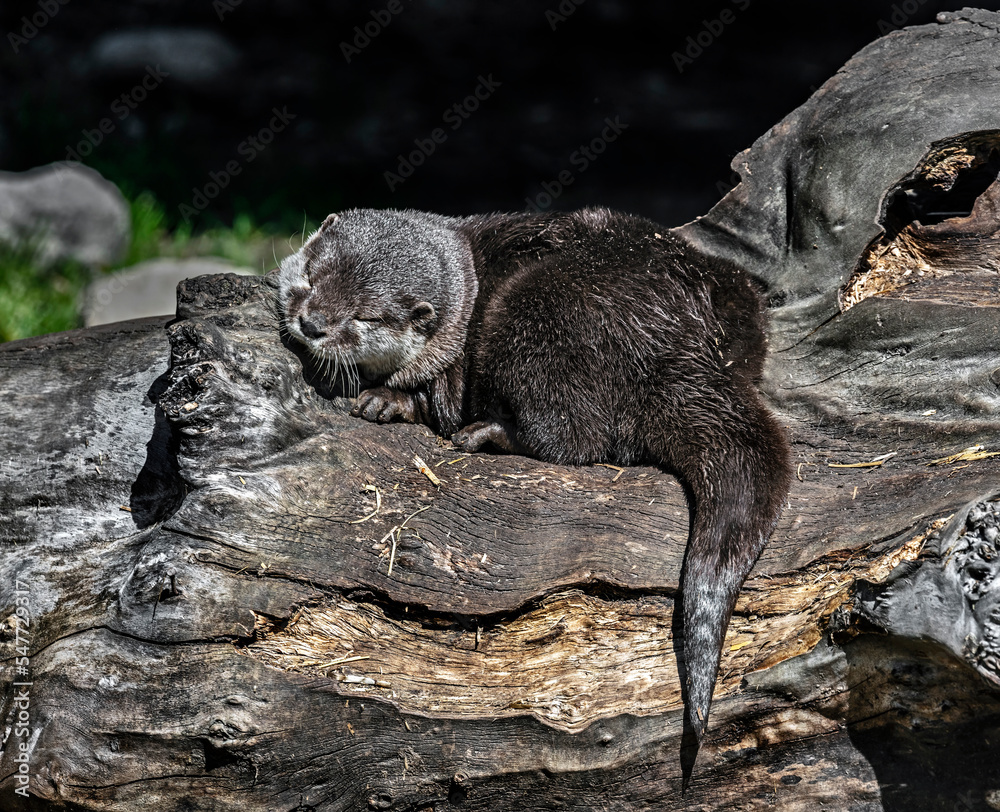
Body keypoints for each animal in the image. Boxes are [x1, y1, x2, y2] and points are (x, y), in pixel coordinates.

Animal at [277, 207, 792, 755]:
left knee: (576, 437)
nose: (311, 323)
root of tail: (670, 332)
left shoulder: (453, 362)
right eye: (311, 277)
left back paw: (486, 434)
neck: (468, 288)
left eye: (363, 318)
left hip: (536, 311)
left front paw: (386, 399)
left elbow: (438, 401)